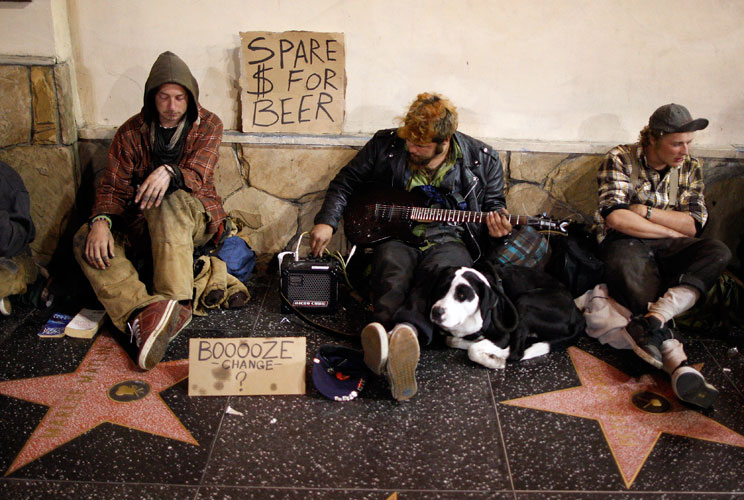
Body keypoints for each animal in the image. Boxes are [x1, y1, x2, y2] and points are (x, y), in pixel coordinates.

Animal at [430, 264, 588, 370]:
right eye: (441, 289)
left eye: (462, 295)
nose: (436, 312)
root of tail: (577, 314)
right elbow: (451, 340)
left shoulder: (503, 335)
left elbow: (472, 350)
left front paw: (492, 360)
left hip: (524, 303)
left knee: (517, 353)